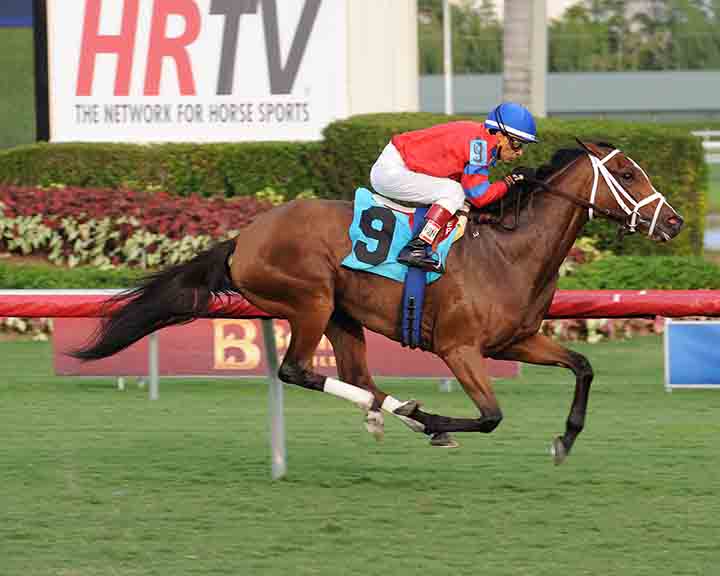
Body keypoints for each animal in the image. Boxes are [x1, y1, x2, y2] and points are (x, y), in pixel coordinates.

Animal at [71, 140, 680, 464]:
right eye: (626, 173)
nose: (673, 222)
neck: (510, 251)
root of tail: (243, 239)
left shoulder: (517, 340)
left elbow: (583, 365)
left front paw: (566, 438)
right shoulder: (459, 349)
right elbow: (490, 417)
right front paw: (436, 419)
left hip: (342, 316)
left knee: (359, 379)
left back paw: (397, 414)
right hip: (310, 301)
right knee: (297, 371)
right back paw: (414, 415)